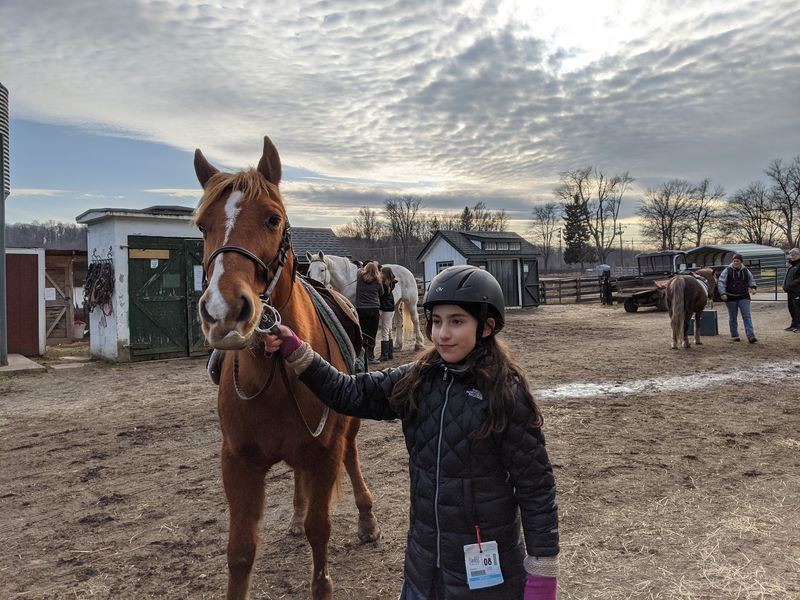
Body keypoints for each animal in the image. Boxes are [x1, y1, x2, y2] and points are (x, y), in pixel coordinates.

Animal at [193, 137, 379, 600]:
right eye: (202, 226)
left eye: (272, 219)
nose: (223, 312)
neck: (273, 375)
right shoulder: (238, 462)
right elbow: (240, 551)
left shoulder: (326, 451)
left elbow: (320, 530)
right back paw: (295, 516)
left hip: (347, 430)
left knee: (352, 459)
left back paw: (367, 519)